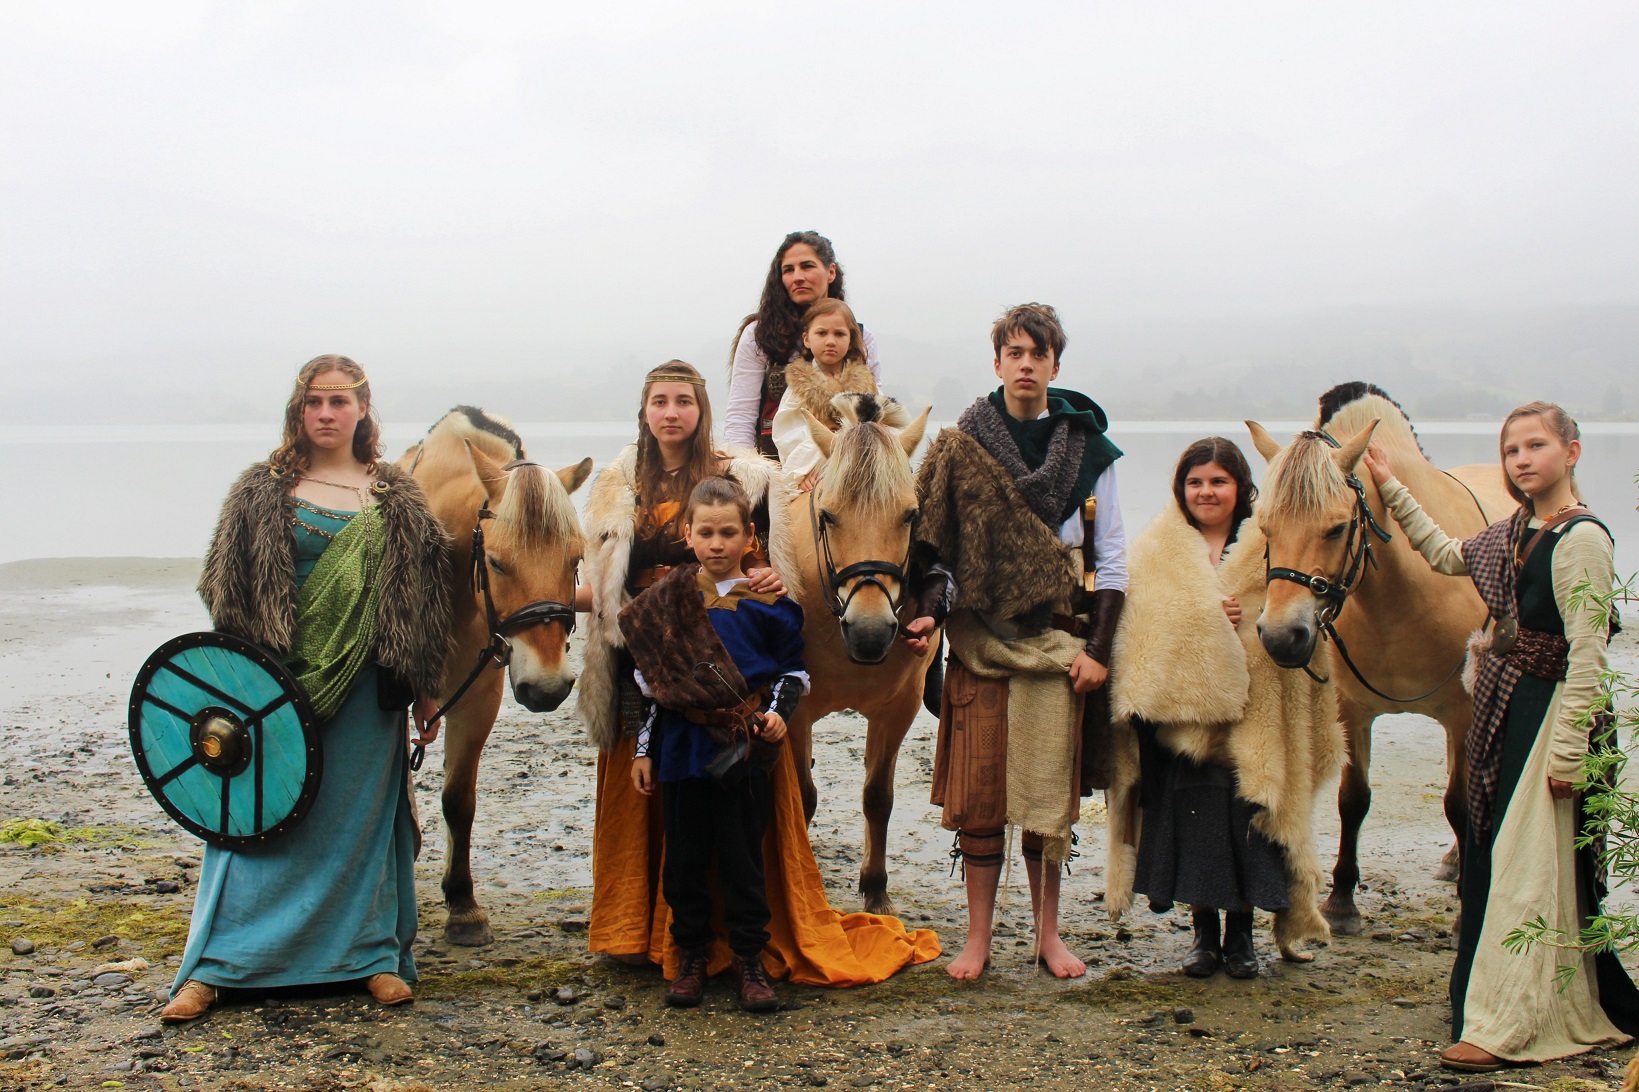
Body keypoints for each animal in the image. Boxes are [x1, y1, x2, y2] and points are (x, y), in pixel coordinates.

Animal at [401, 408, 593, 944]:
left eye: (576, 558)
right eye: (496, 562)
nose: (548, 687)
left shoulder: (478, 699)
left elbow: (458, 800)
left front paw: (463, 904)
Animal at [767, 391, 937, 911]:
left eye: (910, 514)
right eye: (827, 515)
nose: (869, 631)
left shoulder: (899, 708)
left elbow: (877, 796)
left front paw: (875, 888)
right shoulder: (796, 709)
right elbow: (802, 796)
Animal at [1252, 380, 1507, 924]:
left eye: (1335, 528)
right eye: (1265, 528)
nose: (1282, 636)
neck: (1401, 596)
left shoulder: (1462, 712)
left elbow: (1458, 804)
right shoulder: (1353, 711)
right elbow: (1354, 798)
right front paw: (1342, 897)